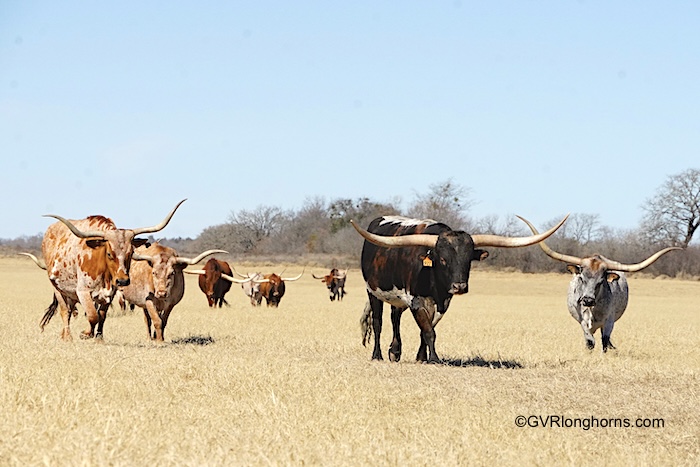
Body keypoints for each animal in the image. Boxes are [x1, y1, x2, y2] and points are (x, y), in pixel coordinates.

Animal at [39, 199, 185, 342]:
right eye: (109, 254)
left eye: (130, 253)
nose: (123, 281)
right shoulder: (83, 291)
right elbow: (92, 315)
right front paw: (85, 334)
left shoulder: (110, 293)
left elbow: (101, 316)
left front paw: (99, 337)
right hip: (58, 288)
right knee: (65, 311)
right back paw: (68, 337)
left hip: (71, 294)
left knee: (70, 310)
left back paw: (63, 335)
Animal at [352, 214, 572, 364]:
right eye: (442, 259)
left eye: (468, 261)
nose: (459, 286)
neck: (434, 280)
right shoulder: (416, 300)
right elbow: (428, 331)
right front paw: (434, 359)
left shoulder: (443, 302)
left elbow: (427, 330)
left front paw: (422, 357)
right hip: (372, 292)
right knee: (378, 322)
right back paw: (378, 355)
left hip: (397, 299)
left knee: (395, 318)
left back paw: (395, 351)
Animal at [516, 218, 680, 352]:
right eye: (581, 278)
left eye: (601, 281)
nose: (588, 300)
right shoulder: (582, 321)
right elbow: (590, 341)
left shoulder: (609, 321)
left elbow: (604, 341)